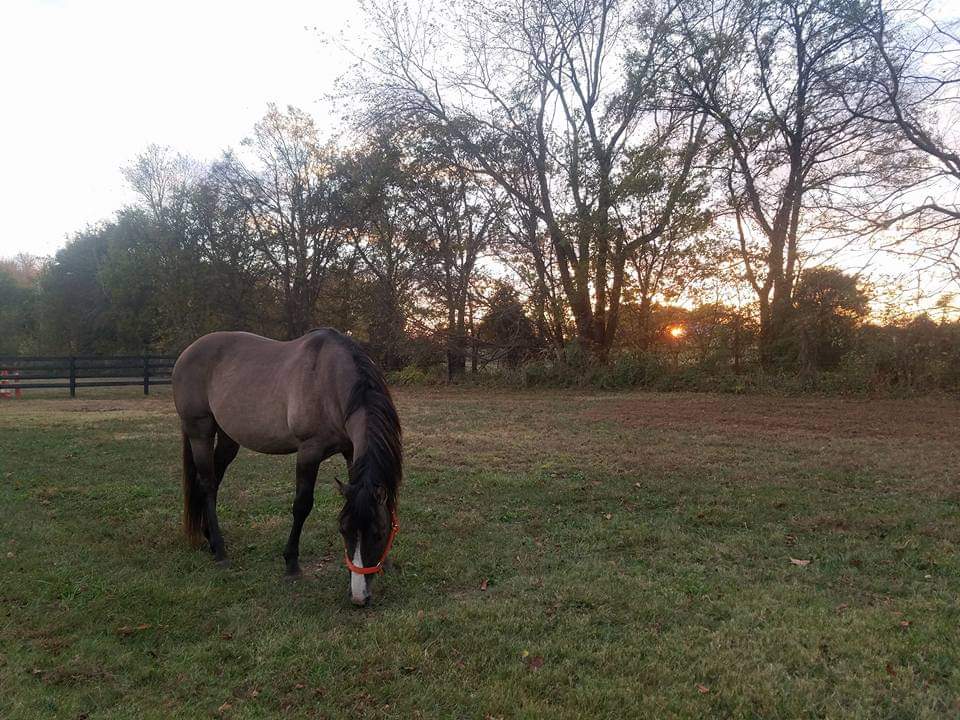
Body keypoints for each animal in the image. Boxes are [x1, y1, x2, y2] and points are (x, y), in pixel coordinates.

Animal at [172, 330, 402, 604]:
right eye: (343, 530)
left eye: (379, 533)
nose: (359, 597)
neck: (331, 383)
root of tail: (187, 352)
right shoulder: (308, 452)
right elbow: (302, 506)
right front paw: (291, 564)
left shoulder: (350, 452)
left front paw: (386, 563)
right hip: (200, 432)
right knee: (207, 484)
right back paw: (221, 551)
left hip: (228, 438)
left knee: (212, 482)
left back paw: (210, 538)